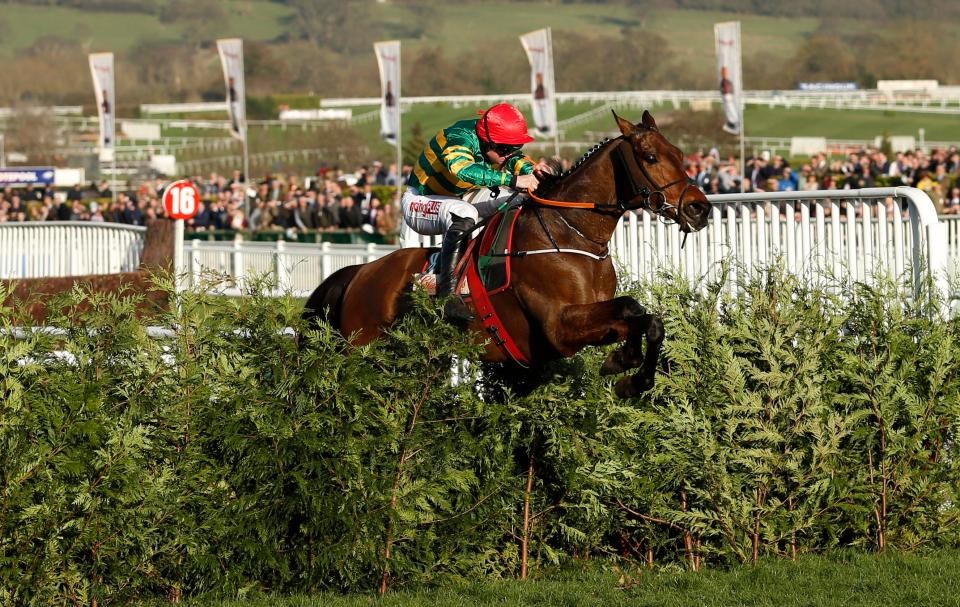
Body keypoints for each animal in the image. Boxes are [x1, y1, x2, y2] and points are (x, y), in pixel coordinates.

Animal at [306, 112, 712, 400]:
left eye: (680, 155)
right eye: (650, 156)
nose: (699, 208)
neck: (570, 233)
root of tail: (360, 271)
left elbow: (645, 319)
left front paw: (631, 374)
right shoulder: (559, 329)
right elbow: (629, 308)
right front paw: (626, 363)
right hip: (365, 346)